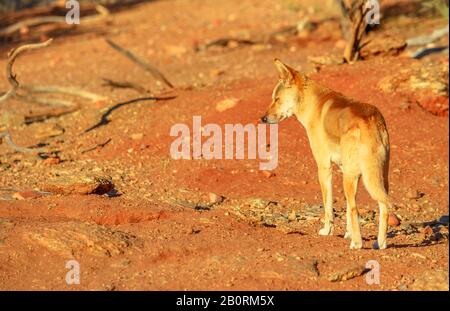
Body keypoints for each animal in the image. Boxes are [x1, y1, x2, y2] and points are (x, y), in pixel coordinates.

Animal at [262, 59, 392, 251]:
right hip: (378, 176)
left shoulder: (324, 166)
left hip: (352, 177)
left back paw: (357, 243)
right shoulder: (345, 168)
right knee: (383, 207)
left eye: (276, 99)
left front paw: (327, 230)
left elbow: (329, 205)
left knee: (356, 208)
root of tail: (370, 120)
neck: (312, 104)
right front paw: (348, 233)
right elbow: (346, 209)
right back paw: (380, 242)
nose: (262, 118)